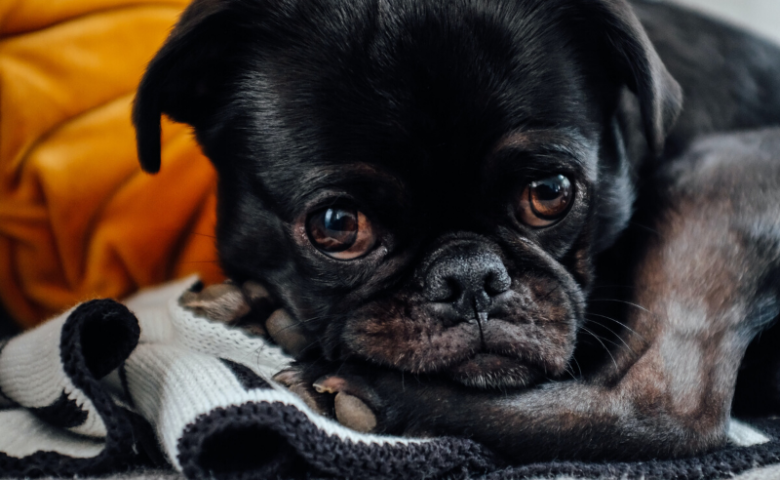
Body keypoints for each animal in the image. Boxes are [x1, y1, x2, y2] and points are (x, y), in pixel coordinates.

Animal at [136, 0, 780, 464]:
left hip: (717, 175)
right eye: (337, 225)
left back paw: (367, 389)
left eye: (549, 191)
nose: (470, 276)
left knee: (666, 409)